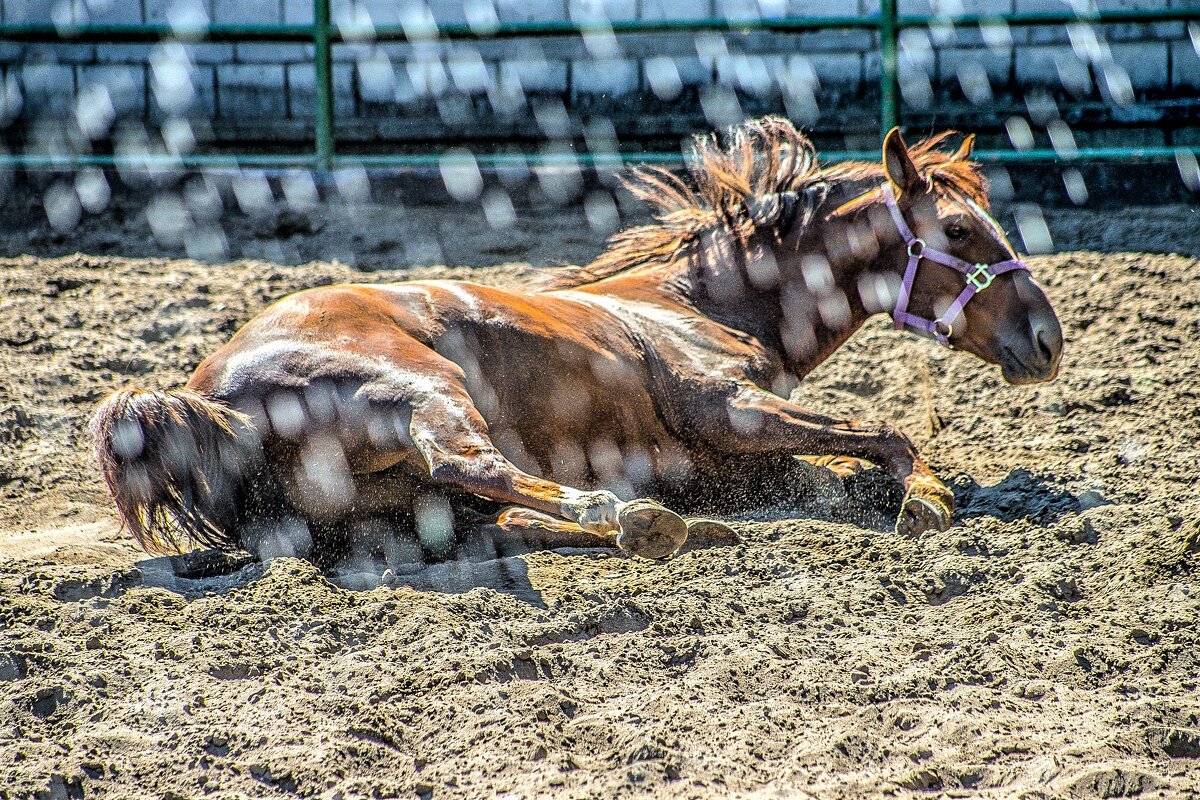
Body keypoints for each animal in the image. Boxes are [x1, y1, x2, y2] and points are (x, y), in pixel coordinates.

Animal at [93, 117, 1065, 568]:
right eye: (961, 231)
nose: (1049, 339)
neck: (694, 301)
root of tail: (207, 399)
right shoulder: (729, 409)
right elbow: (886, 434)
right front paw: (929, 499)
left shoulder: (744, 457)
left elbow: (838, 469)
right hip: (423, 390)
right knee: (473, 467)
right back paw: (630, 515)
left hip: (386, 512)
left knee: (490, 523)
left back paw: (674, 525)